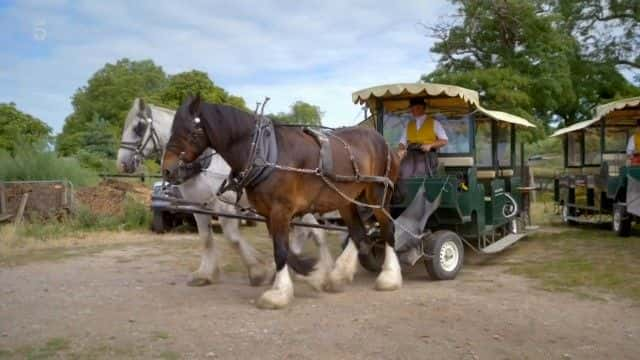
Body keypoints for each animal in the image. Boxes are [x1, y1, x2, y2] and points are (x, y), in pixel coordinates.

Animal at [117, 98, 332, 290]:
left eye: (138, 128)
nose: (121, 163)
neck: (203, 164)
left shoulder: (225, 206)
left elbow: (233, 238)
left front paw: (258, 271)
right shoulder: (198, 206)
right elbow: (205, 238)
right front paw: (204, 274)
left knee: (315, 232)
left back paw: (325, 271)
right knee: (309, 231)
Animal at [161, 95, 400, 310]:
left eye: (191, 131)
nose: (167, 170)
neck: (264, 153)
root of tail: (382, 140)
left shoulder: (279, 210)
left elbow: (280, 250)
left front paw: (278, 292)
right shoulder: (268, 212)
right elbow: (282, 248)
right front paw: (311, 275)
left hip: (378, 196)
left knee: (387, 228)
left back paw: (389, 276)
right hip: (345, 200)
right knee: (358, 232)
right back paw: (338, 276)